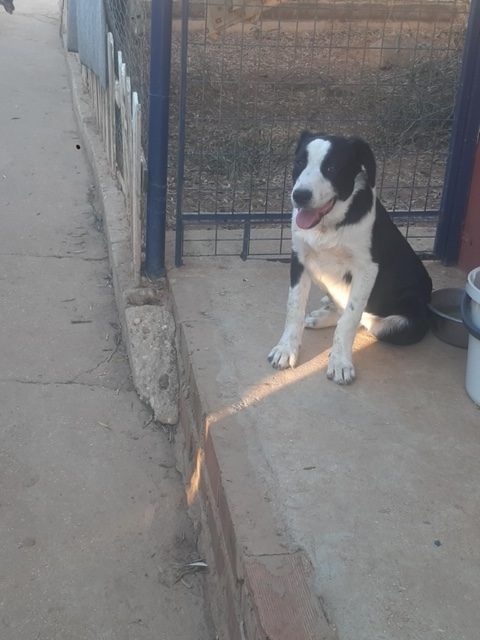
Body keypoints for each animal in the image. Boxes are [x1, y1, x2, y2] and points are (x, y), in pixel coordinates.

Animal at [268, 131, 432, 384]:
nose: (300, 196)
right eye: (299, 162)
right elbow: (294, 308)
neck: (328, 226)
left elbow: (350, 319)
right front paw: (286, 350)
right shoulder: (299, 258)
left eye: (332, 167)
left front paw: (340, 363)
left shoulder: (367, 270)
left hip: (407, 323)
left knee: (365, 318)